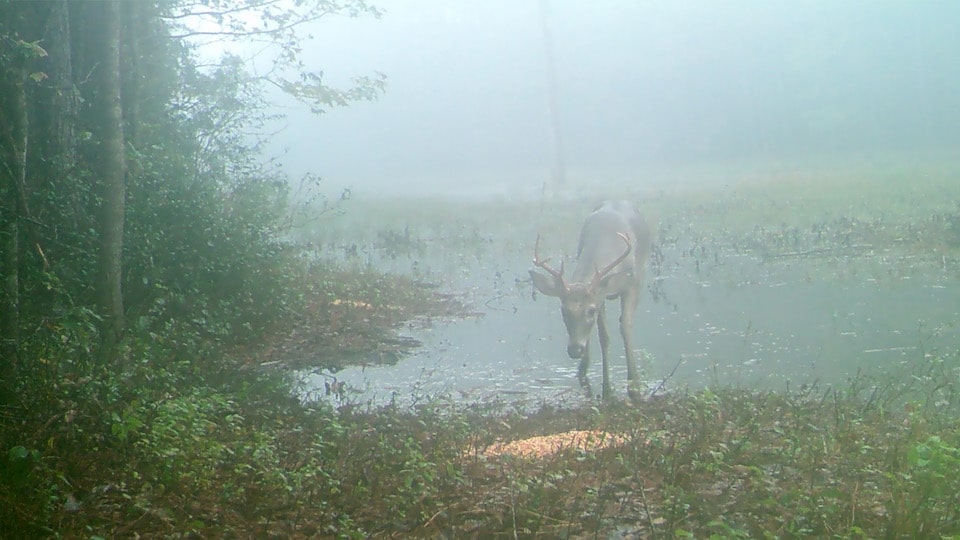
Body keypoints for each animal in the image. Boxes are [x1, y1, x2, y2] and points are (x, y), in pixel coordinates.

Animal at [528, 200, 656, 398]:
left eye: (590, 310)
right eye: (563, 310)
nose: (574, 350)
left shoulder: (634, 284)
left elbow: (626, 326)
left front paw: (634, 384)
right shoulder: (600, 296)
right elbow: (604, 337)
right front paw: (605, 385)